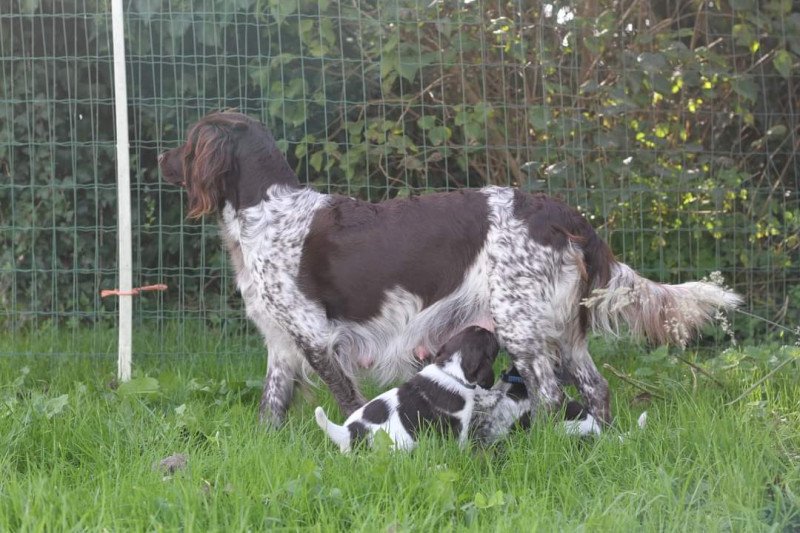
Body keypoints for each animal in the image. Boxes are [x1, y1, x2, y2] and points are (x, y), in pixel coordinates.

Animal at [158, 111, 744, 428]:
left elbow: (347, 400)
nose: (158, 159)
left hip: (520, 324)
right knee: (595, 389)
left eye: (187, 142)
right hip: (561, 331)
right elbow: (270, 409)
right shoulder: (281, 343)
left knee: (552, 395)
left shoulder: (316, 337)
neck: (268, 210)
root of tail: (564, 215)